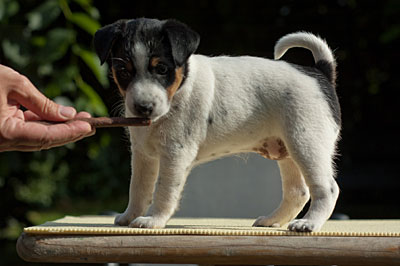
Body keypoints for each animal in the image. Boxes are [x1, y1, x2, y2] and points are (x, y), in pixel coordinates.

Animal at [94, 17, 340, 232]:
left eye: (162, 69)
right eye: (123, 71)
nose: (143, 107)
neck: (180, 90)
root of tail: (320, 73)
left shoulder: (175, 154)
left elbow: (163, 191)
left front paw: (154, 220)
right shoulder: (143, 155)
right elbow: (138, 188)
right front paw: (130, 216)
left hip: (306, 144)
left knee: (327, 189)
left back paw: (309, 223)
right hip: (287, 150)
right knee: (298, 192)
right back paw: (272, 220)